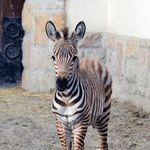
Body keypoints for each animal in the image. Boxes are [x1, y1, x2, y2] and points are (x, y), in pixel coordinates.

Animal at [45, 20, 112, 149]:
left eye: (74, 58)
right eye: (53, 57)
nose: (61, 84)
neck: (66, 97)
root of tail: (91, 59)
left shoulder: (81, 123)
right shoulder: (61, 124)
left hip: (103, 115)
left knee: (103, 143)